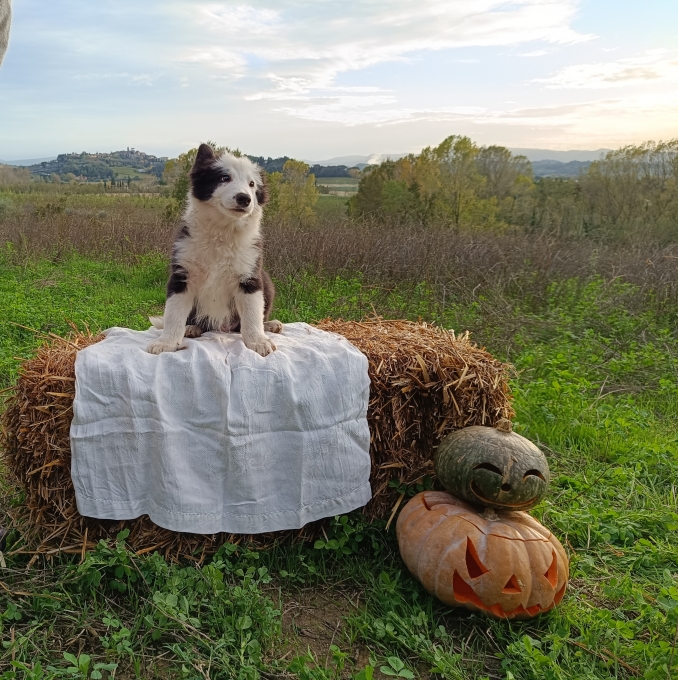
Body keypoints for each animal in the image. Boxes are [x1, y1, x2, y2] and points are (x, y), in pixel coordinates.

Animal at [147, 142, 282, 356]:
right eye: (224, 178)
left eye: (252, 184)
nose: (244, 199)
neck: (222, 233)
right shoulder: (182, 276)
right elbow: (173, 315)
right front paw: (166, 342)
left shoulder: (250, 277)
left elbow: (252, 314)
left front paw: (258, 340)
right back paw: (191, 327)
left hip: (266, 281)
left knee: (247, 321)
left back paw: (270, 325)